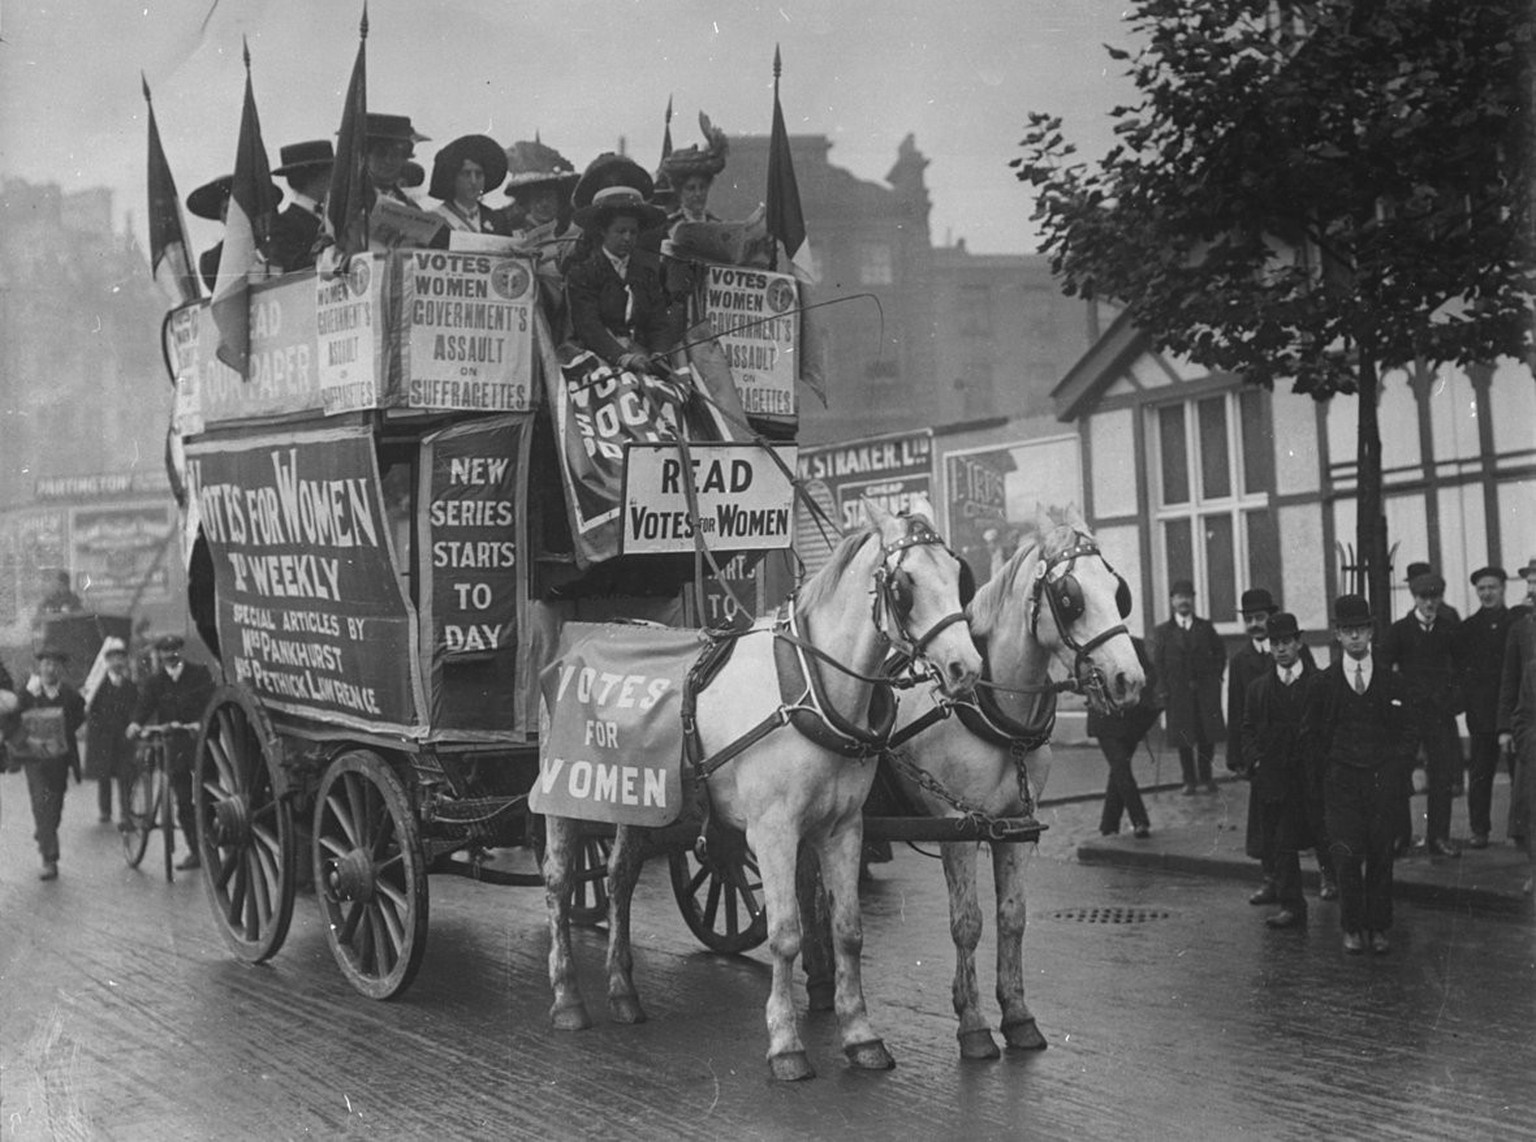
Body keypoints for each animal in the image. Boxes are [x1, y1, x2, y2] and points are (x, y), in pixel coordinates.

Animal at [540, 501, 983, 1082]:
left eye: (958, 575)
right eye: (903, 584)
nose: (966, 669)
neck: (806, 689)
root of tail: (578, 638)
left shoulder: (844, 828)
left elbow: (848, 930)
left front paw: (860, 1035)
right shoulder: (773, 832)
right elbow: (785, 933)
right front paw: (786, 1044)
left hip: (636, 799)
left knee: (618, 879)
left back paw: (622, 992)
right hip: (563, 793)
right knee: (560, 883)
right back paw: (568, 997)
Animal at [878, 510, 1142, 1063]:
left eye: (1118, 590)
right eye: (1070, 596)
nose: (1130, 680)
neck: (988, 705)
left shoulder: (1017, 826)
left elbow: (1012, 917)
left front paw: (1018, 1016)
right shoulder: (957, 826)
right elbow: (967, 922)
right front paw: (974, 1025)